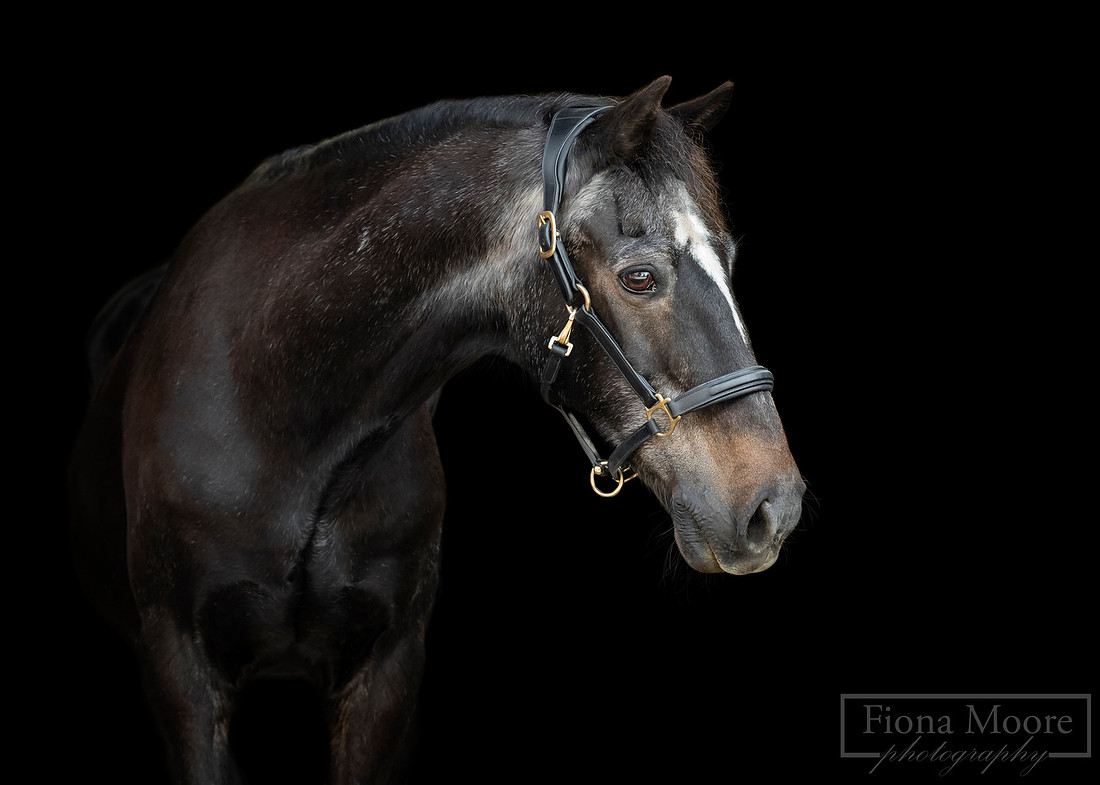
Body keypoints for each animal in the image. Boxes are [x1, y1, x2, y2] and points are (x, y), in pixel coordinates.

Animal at [68, 76, 804, 784]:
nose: (775, 508)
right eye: (640, 277)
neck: (279, 411)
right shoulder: (181, 671)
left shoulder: (389, 673)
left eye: (729, 259)